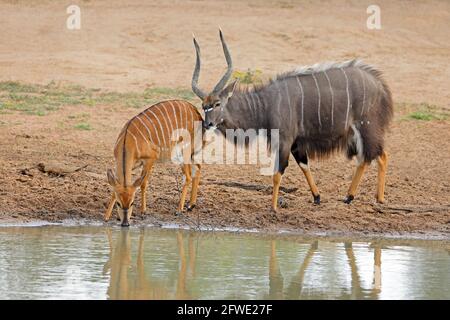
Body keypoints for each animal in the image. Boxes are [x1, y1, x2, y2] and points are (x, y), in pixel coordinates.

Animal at [192, 31, 392, 212]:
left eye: (217, 104)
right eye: (203, 105)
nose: (207, 124)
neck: (265, 103)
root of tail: (380, 85)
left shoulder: (285, 140)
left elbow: (277, 173)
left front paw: (273, 208)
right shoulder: (296, 143)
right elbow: (304, 165)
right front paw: (317, 197)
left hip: (366, 127)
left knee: (375, 155)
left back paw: (359, 197)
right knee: (374, 155)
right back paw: (368, 197)